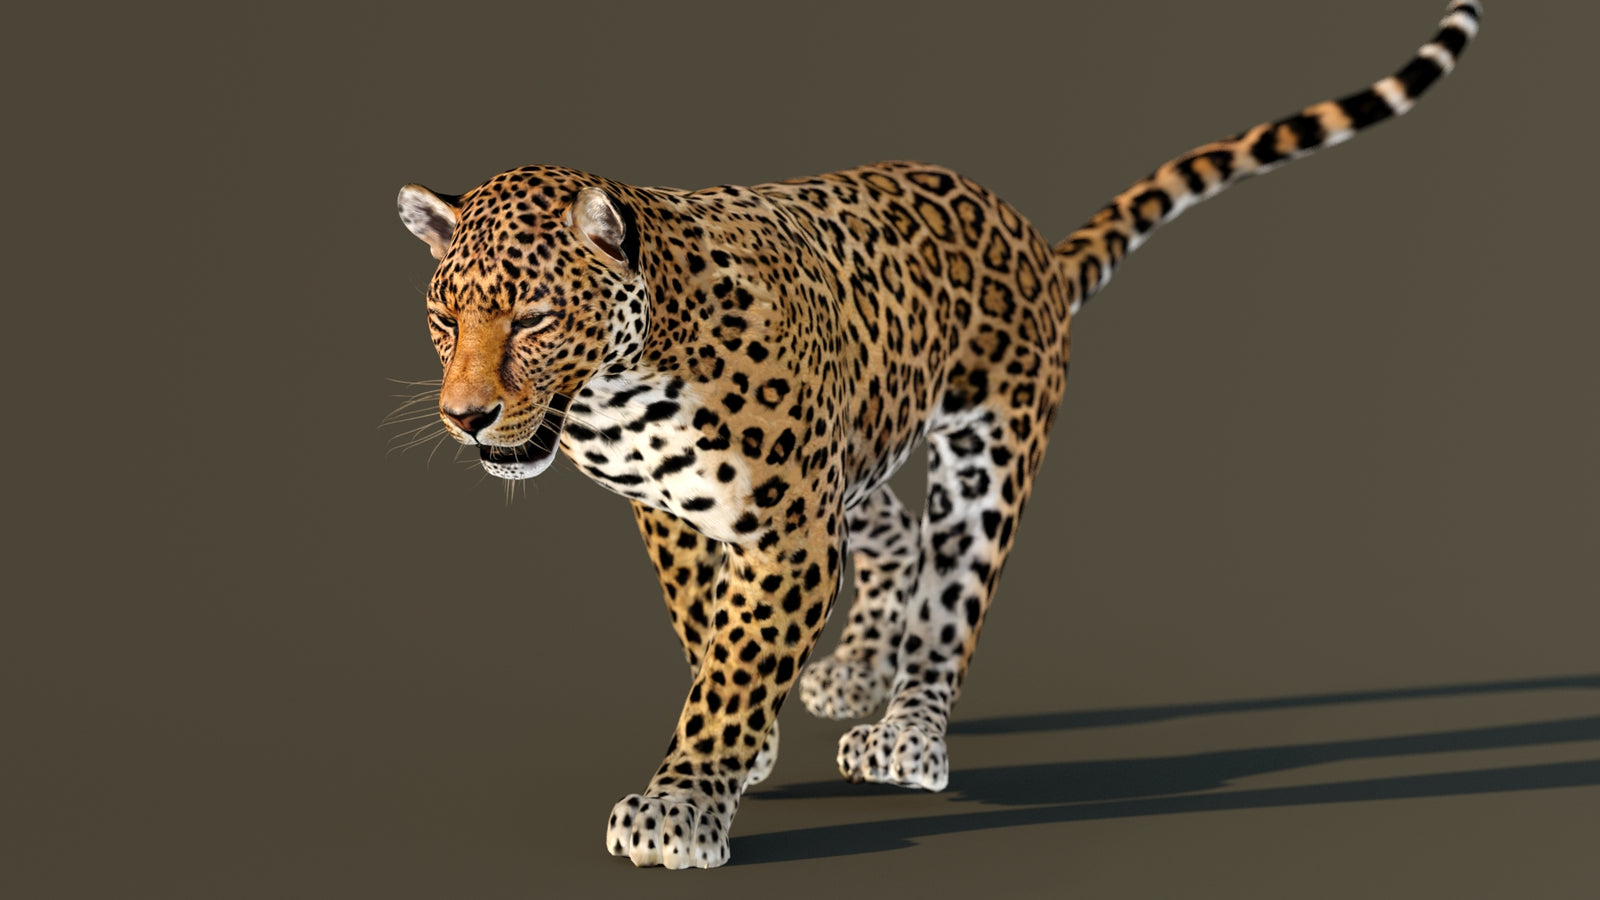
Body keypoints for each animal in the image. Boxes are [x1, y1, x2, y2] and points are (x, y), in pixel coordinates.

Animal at [393, 1, 1480, 869]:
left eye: (533, 319)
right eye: (445, 318)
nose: (465, 415)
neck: (622, 388)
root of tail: (1030, 244)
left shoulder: (783, 530)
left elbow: (738, 660)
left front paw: (683, 804)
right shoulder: (683, 518)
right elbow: (710, 635)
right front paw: (741, 747)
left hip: (983, 456)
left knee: (950, 596)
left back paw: (907, 737)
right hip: (862, 452)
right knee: (896, 538)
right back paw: (856, 671)